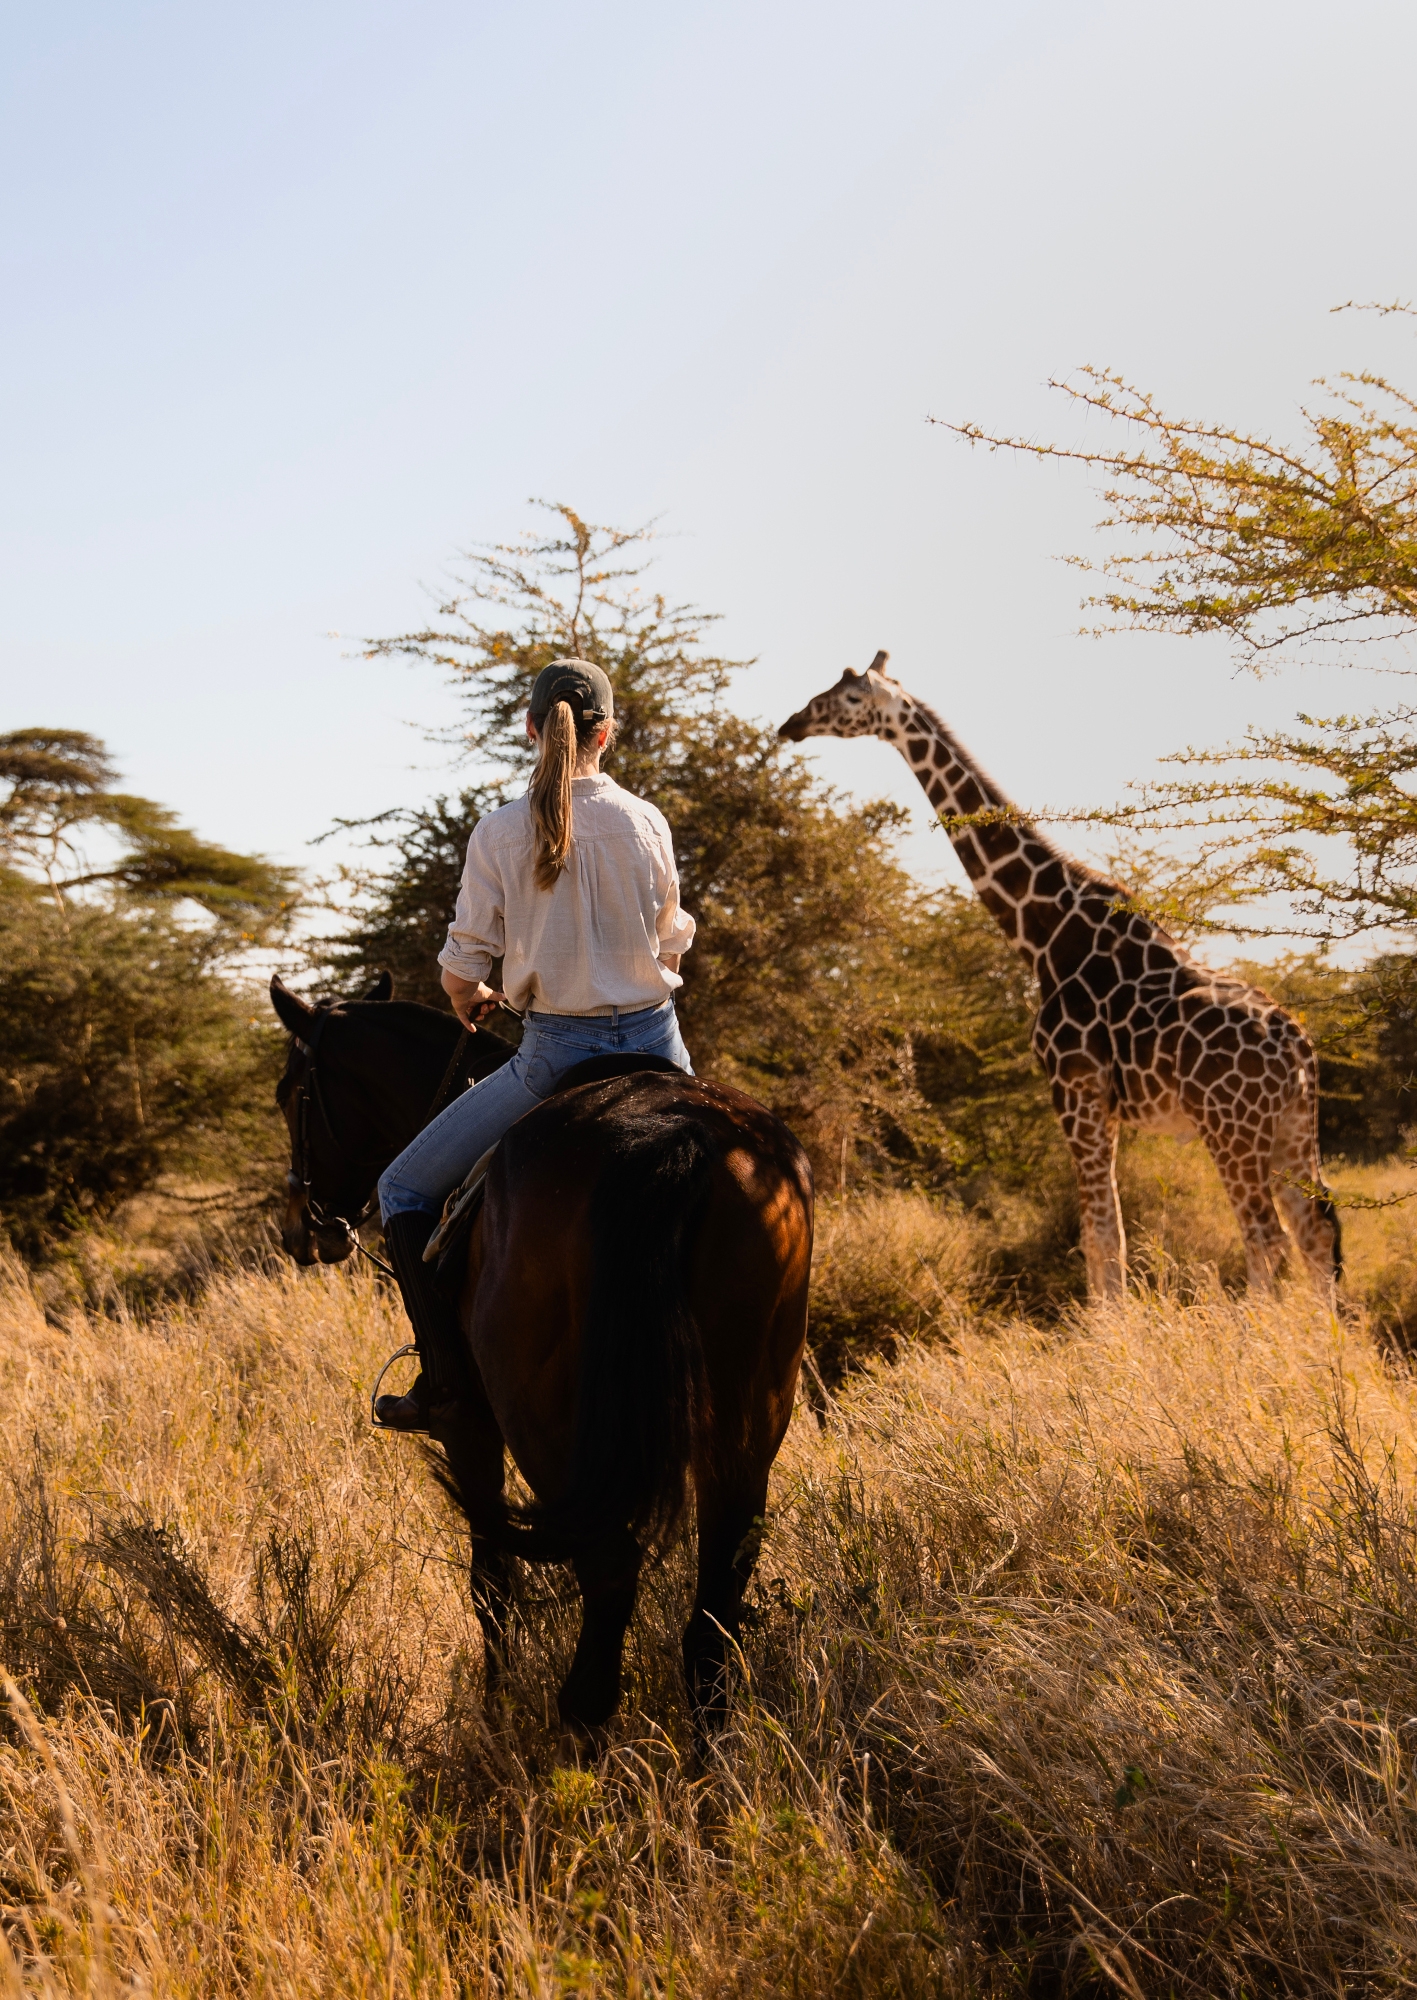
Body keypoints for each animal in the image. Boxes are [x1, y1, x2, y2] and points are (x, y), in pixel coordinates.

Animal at [269, 973, 814, 1733]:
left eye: (289, 1092)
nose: (302, 1229)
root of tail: (674, 1136)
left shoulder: (466, 1423)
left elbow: (489, 1583)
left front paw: (495, 1712)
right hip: (747, 1417)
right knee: (714, 1609)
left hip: (544, 1424)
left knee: (608, 1567)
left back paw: (579, 1729)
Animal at [779, 652, 1341, 1302]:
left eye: (848, 699)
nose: (792, 723)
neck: (1044, 934)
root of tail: (1299, 1049)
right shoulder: (1097, 1102)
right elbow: (1105, 1234)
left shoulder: (1074, 1089)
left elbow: (1101, 1236)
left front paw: (1109, 1330)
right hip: (1293, 1126)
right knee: (1315, 1230)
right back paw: (1322, 1335)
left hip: (1231, 1125)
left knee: (1265, 1237)